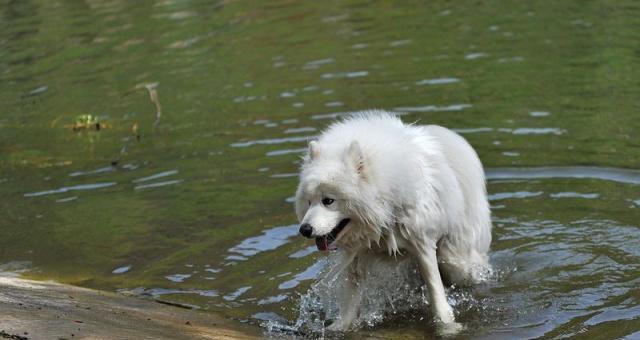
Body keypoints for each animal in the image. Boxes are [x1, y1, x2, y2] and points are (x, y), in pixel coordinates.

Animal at [292, 109, 492, 332]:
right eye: (309, 201)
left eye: (328, 201)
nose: (305, 229)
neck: (384, 210)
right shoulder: (356, 257)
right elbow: (349, 303)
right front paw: (338, 328)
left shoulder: (422, 245)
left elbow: (436, 291)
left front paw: (447, 325)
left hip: (455, 255)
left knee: (458, 267)